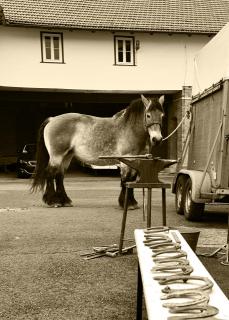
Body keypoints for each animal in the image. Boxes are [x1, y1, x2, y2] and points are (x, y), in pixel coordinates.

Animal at [31, 94, 165, 209]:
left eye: (162, 115)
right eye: (148, 115)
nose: (157, 139)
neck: (130, 129)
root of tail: (52, 119)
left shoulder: (136, 160)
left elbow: (130, 180)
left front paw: (131, 203)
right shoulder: (126, 160)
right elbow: (125, 180)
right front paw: (126, 204)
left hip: (67, 156)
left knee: (59, 175)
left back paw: (65, 201)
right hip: (57, 156)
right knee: (50, 174)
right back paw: (53, 202)